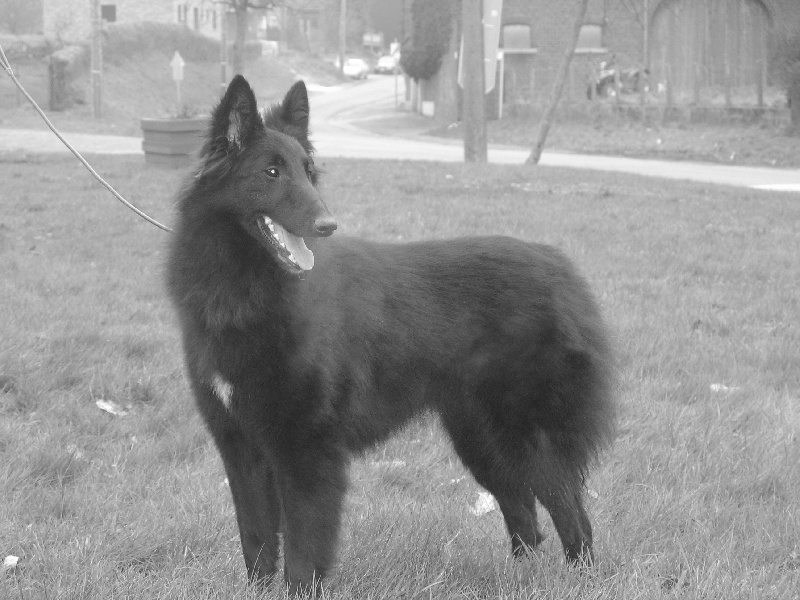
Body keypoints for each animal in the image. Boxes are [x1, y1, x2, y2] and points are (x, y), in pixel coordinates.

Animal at [166, 75, 615, 595]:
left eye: (309, 173)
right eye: (272, 172)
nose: (327, 224)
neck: (246, 291)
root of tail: (562, 268)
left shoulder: (307, 451)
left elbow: (302, 551)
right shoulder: (241, 448)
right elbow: (256, 543)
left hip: (523, 435)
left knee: (573, 518)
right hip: (481, 439)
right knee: (525, 515)